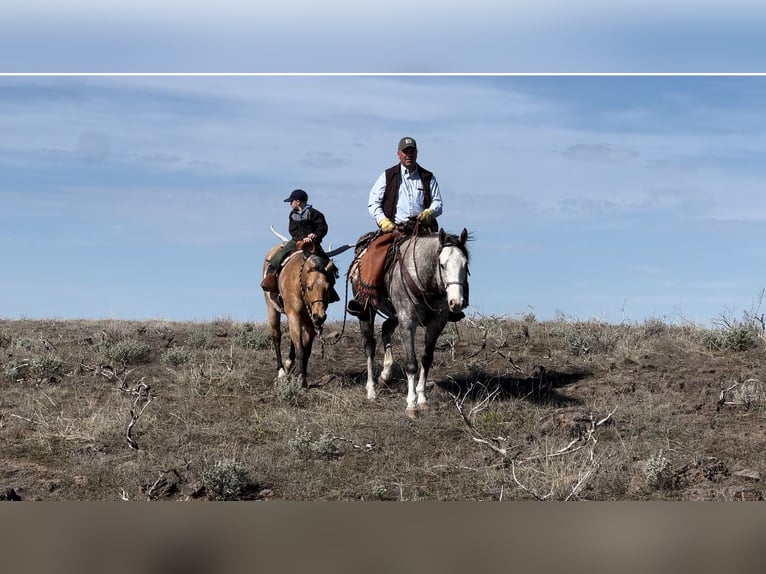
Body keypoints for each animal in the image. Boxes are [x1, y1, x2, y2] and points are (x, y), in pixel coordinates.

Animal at [260, 232, 352, 390]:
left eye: (328, 287)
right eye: (309, 287)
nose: (320, 316)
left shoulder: (309, 321)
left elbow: (306, 350)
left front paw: (302, 376)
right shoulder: (294, 314)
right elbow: (300, 349)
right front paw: (301, 379)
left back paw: (289, 364)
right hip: (272, 308)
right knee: (276, 336)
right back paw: (281, 370)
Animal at [350, 225, 472, 418]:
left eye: (465, 265)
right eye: (442, 265)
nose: (457, 302)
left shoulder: (436, 324)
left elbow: (426, 359)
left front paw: (422, 399)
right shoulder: (407, 323)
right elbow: (412, 364)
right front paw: (411, 404)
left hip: (394, 315)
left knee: (386, 330)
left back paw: (385, 375)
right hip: (367, 312)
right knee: (369, 346)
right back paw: (371, 390)